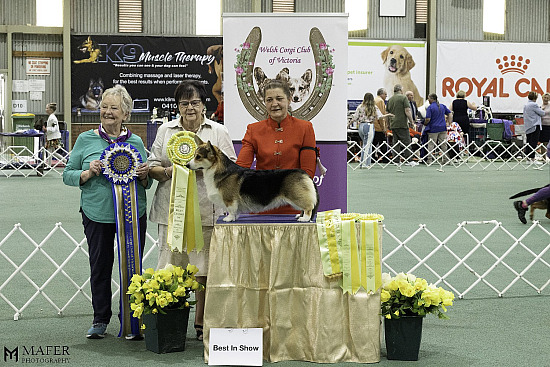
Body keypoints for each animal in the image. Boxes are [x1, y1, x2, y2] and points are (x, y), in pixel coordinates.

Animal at [188, 137, 322, 221]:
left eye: (198, 157)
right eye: (194, 155)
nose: (187, 165)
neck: (219, 170)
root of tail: (305, 174)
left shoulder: (229, 199)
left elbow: (231, 210)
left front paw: (229, 219)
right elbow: (235, 211)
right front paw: (234, 218)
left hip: (297, 196)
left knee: (308, 207)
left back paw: (304, 219)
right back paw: (300, 216)